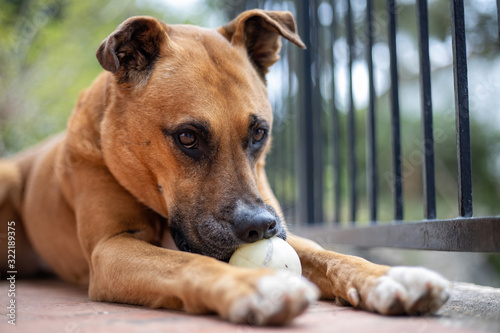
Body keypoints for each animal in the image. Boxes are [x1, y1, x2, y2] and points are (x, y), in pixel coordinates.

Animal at [0, 9, 450, 324]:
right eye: (187, 137)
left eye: (260, 132)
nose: (259, 227)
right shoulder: (111, 249)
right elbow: (190, 261)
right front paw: (253, 285)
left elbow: (330, 255)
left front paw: (388, 276)